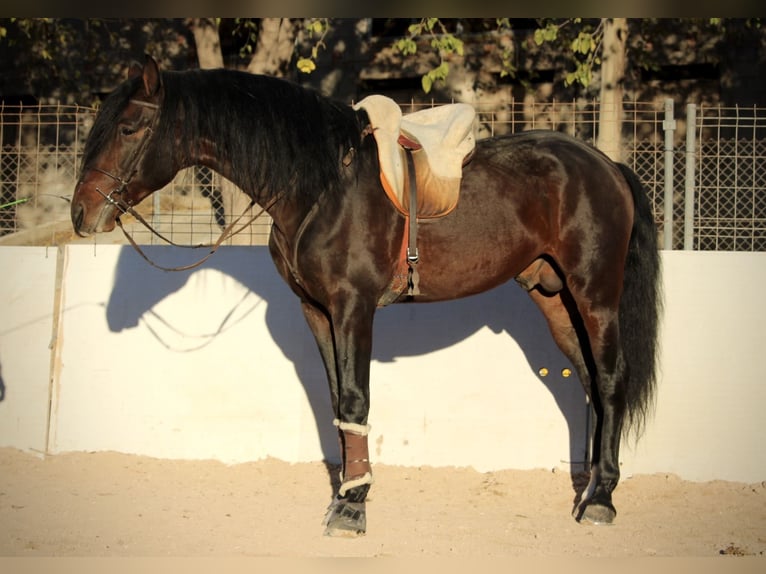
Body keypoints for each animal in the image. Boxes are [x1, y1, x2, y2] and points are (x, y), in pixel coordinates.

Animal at [69, 56, 664, 536]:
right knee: (590, 383)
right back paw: (591, 488)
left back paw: (602, 501)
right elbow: (338, 406)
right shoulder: (317, 312)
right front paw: (346, 493)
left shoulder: (353, 307)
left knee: (611, 382)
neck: (321, 186)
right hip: (554, 299)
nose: (81, 214)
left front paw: (352, 509)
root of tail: (606, 165)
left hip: (595, 295)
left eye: (129, 127)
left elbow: (357, 399)